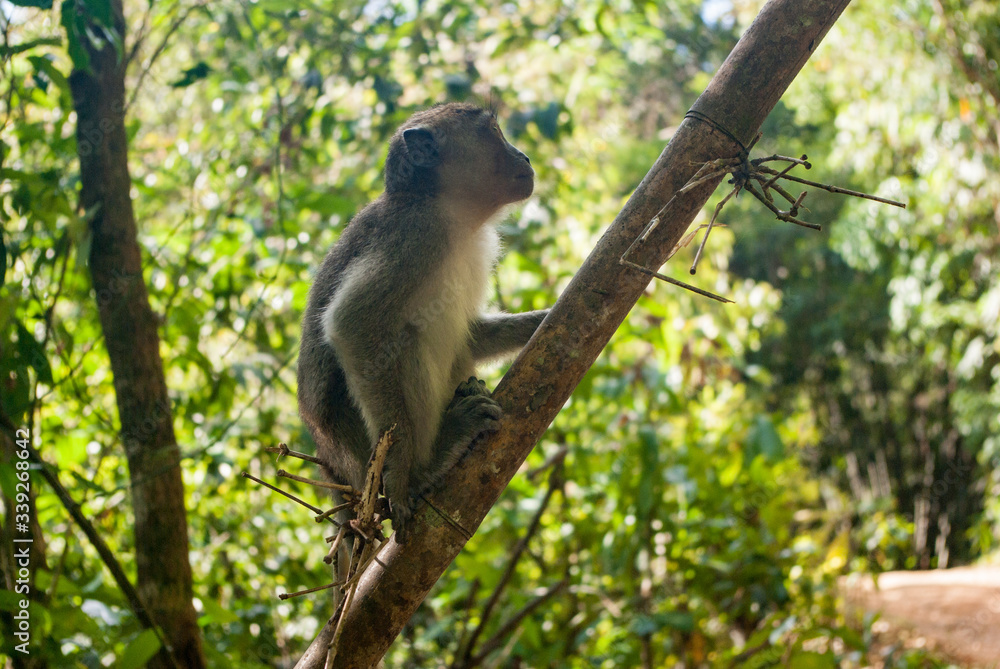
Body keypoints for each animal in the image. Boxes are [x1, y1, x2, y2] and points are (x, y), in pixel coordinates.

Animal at [298, 103, 548, 544]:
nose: (525, 157)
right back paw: (432, 461)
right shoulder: (415, 236)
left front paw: (542, 321)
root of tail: (331, 464)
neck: (449, 211)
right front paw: (402, 477)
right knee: (406, 344)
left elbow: (470, 335)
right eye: (495, 132)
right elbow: (353, 325)